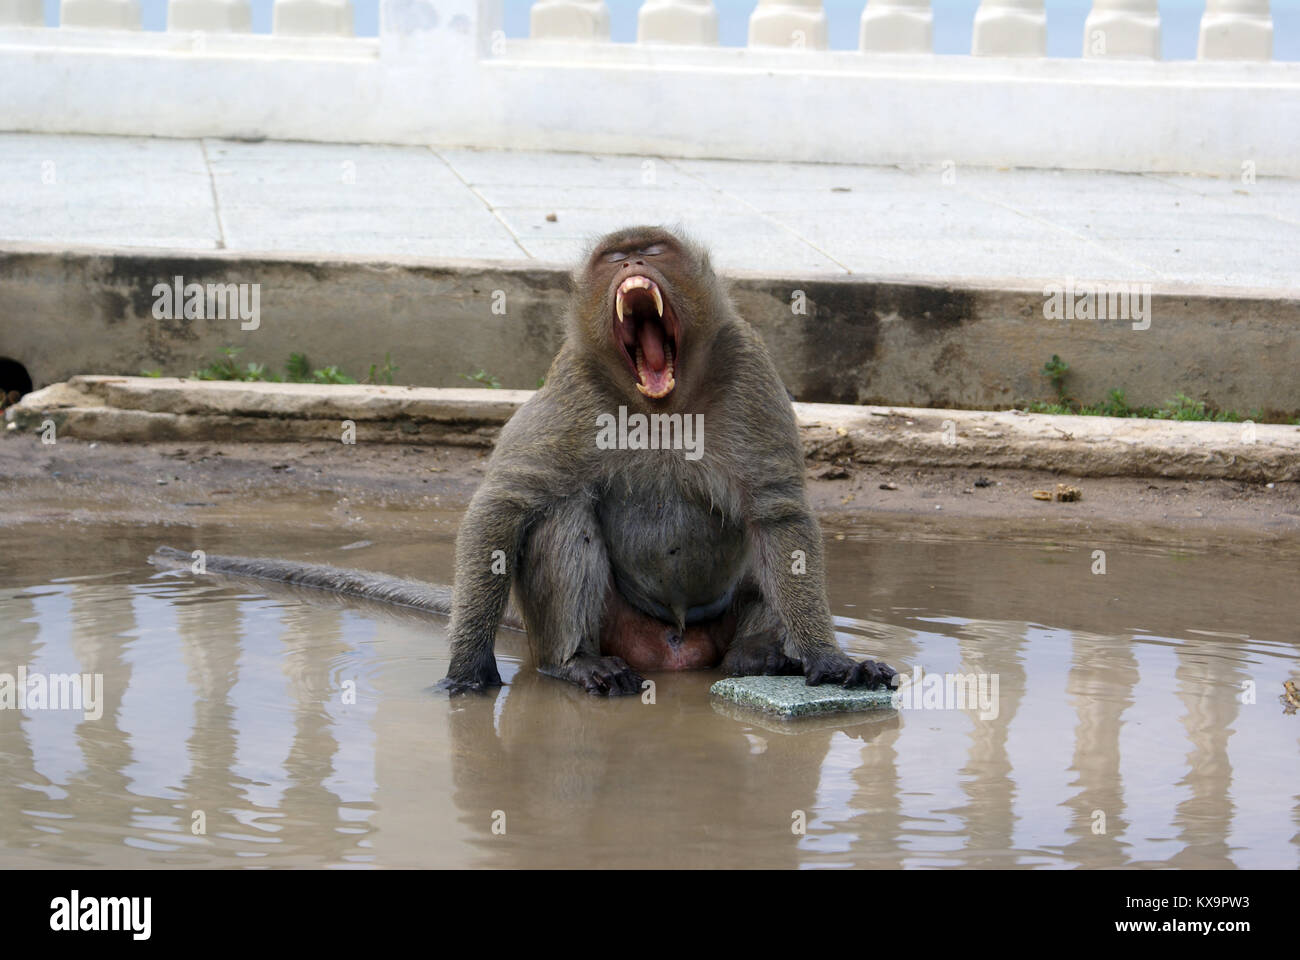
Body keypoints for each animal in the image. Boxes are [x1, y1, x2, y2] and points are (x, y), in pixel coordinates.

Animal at [441, 228, 899, 697]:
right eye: (615, 257)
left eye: (653, 251)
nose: (633, 264)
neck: (663, 410)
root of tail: (676, 650)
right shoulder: (572, 382)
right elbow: (505, 502)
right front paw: (468, 665)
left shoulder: (748, 363)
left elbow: (779, 515)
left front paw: (827, 657)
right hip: (617, 631)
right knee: (561, 513)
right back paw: (575, 662)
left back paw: (755, 654)